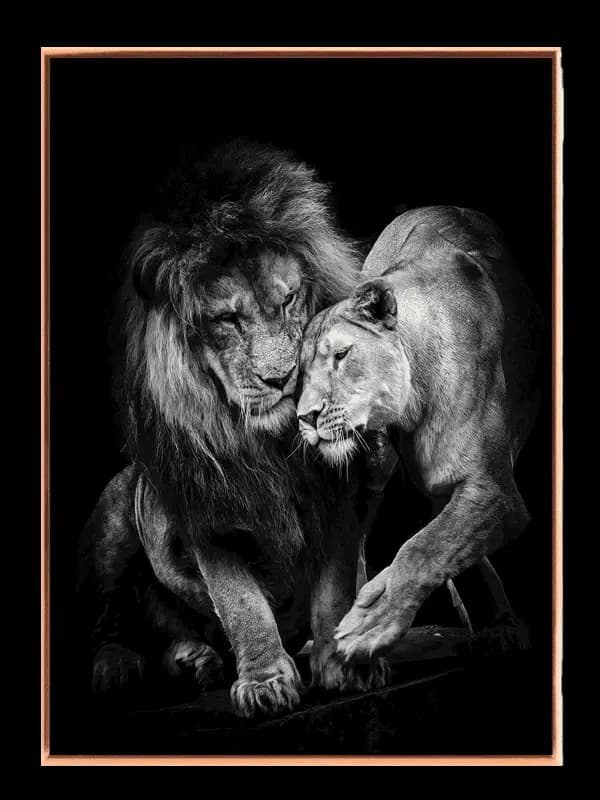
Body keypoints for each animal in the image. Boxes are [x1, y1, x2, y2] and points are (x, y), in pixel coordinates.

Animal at [76, 139, 390, 719]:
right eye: (227, 319)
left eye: (288, 300)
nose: (281, 377)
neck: (272, 442)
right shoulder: (208, 508)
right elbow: (240, 601)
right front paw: (265, 680)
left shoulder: (342, 491)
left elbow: (336, 586)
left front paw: (343, 660)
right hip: (111, 522)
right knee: (111, 621)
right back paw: (123, 667)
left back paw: (197, 659)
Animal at [296, 205, 543, 661]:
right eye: (302, 372)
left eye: (341, 354)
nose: (306, 417)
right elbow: (431, 543)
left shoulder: (493, 487)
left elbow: (424, 547)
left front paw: (371, 620)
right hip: (375, 467)